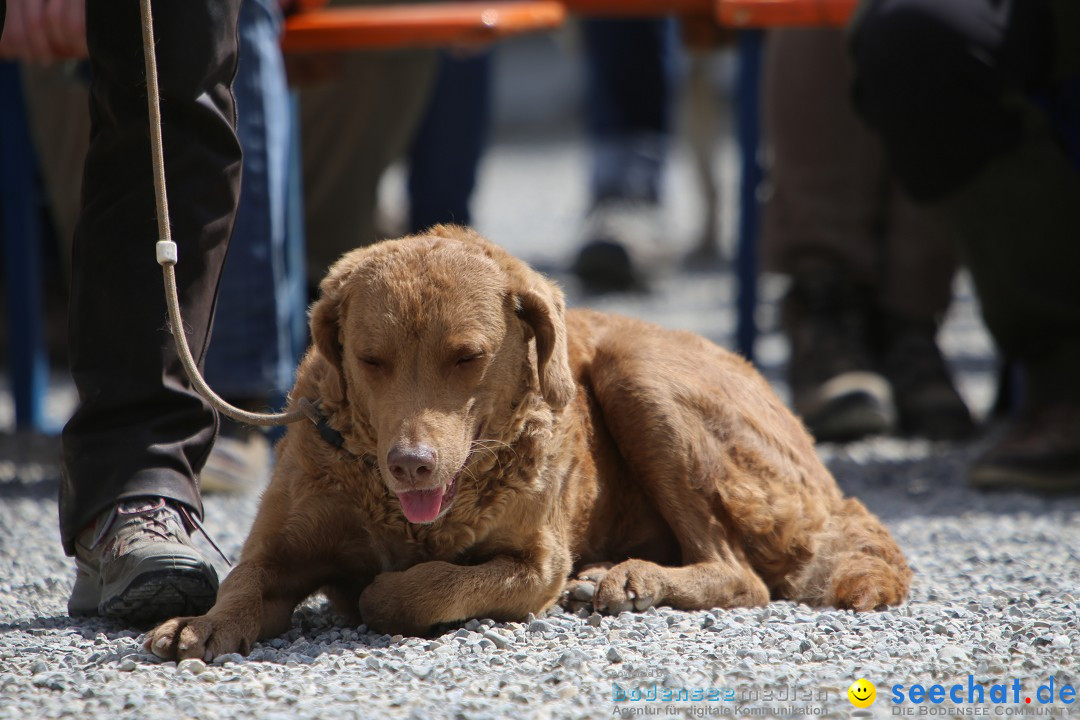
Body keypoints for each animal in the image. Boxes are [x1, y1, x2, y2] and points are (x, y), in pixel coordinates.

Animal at [145, 225, 902, 660]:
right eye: (370, 359)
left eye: (467, 357)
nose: (410, 465)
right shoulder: (280, 546)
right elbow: (245, 578)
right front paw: (201, 624)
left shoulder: (538, 565)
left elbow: (421, 590)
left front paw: (382, 591)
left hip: (638, 372)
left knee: (741, 573)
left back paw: (626, 579)